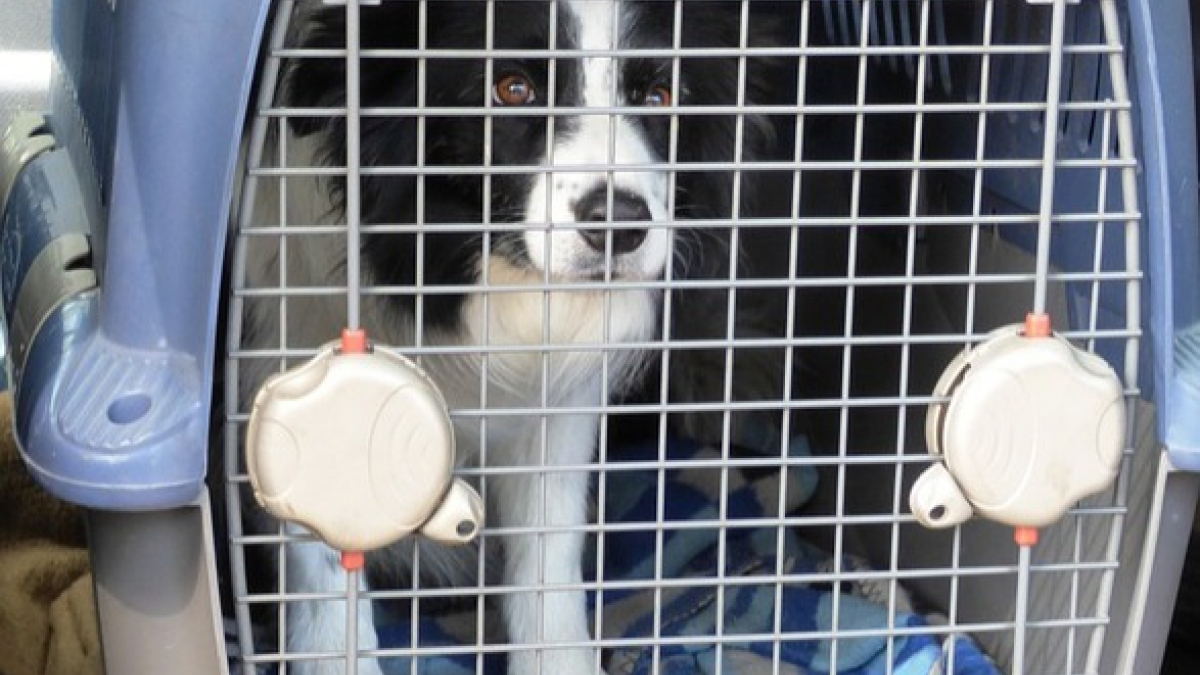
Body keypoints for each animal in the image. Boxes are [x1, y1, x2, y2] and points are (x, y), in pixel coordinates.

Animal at [232, 1, 782, 672]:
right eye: (512, 88)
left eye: (661, 95)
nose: (620, 226)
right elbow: (322, 553)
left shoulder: (560, 404)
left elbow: (549, 552)